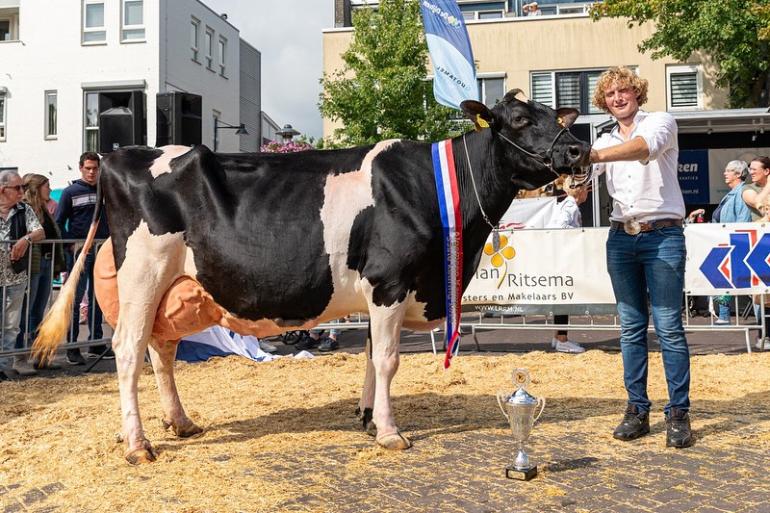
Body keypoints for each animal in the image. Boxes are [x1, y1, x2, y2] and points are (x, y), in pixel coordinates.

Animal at [33, 90, 588, 462]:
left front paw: (367, 418)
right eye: (520, 119)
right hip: (142, 274)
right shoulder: (389, 281)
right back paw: (138, 444)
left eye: (554, 116)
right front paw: (390, 432)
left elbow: (370, 359)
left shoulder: (378, 292)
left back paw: (181, 423)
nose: (578, 149)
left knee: (160, 349)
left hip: (174, 287)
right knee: (128, 351)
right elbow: (388, 361)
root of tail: (120, 155)